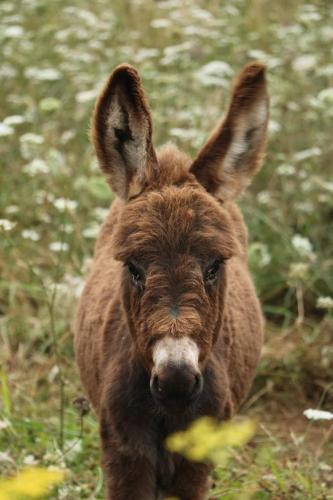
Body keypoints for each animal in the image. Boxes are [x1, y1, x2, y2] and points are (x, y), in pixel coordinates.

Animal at [74, 62, 268, 500]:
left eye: (214, 266)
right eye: (133, 268)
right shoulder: (123, 456)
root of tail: (172, 162)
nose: (176, 379)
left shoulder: (197, 464)